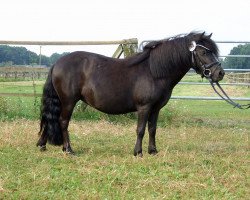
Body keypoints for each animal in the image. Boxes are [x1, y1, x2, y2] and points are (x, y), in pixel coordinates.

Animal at [36, 32, 225, 156]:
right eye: (204, 52)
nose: (220, 73)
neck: (153, 71)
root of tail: (57, 63)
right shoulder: (144, 107)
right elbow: (140, 129)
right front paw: (138, 152)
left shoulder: (156, 109)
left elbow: (152, 129)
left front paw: (153, 151)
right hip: (68, 101)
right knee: (62, 121)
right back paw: (68, 149)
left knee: (51, 119)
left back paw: (43, 145)